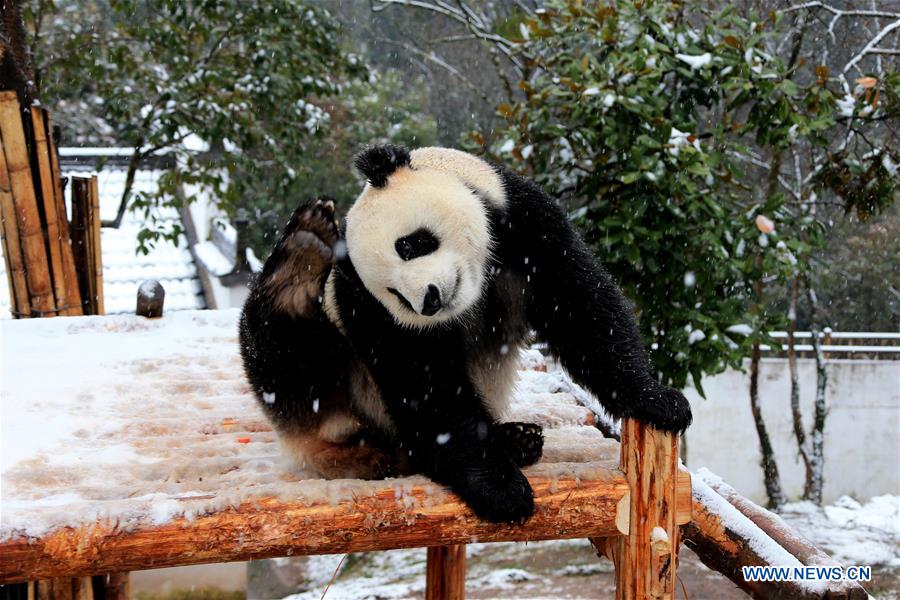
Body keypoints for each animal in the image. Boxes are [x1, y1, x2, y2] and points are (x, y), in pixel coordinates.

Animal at [237, 144, 688, 520]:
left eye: (410, 245)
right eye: (394, 293)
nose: (429, 301)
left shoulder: (524, 221)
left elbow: (580, 307)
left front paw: (657, 401)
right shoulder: (366, 307)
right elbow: (426, 386)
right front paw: (502, 492)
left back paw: (517, 439)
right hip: (335, 380)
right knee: (284, 354)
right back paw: (299, 263)